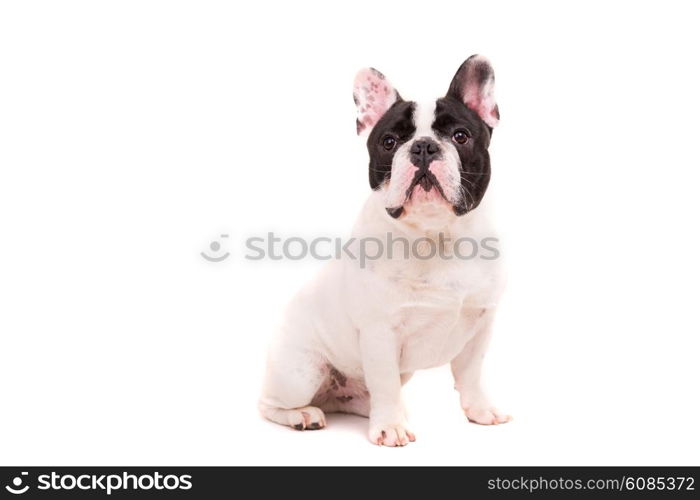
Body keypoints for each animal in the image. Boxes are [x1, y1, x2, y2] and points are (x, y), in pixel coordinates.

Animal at [258, 55, 508, 450]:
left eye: (461, 136)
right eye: (389, 142)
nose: (423, 147)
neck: (436, 236)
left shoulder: (481, 323)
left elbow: (471, 373)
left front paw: (480, 410)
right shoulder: (380, 333)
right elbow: (386, 382)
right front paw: (390, 427)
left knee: (363, 396)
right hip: (300, 372)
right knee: (270, 403)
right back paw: (304, 415)